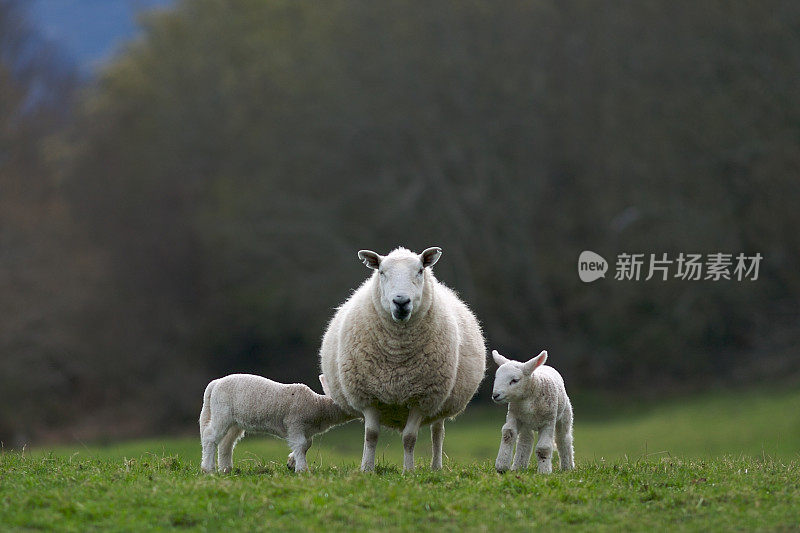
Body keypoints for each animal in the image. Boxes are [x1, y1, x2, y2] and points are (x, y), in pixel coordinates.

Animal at [320, 245, 484, 470]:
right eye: (381, 272)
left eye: (420, 271)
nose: (401, 302)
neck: (397, 352)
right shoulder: (368, 396)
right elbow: (371, 435)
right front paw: (366, 469)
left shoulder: (422, 398)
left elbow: (409, 438)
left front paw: (409, 470)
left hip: (440, 403)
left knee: (437, 432)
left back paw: (436, 467)